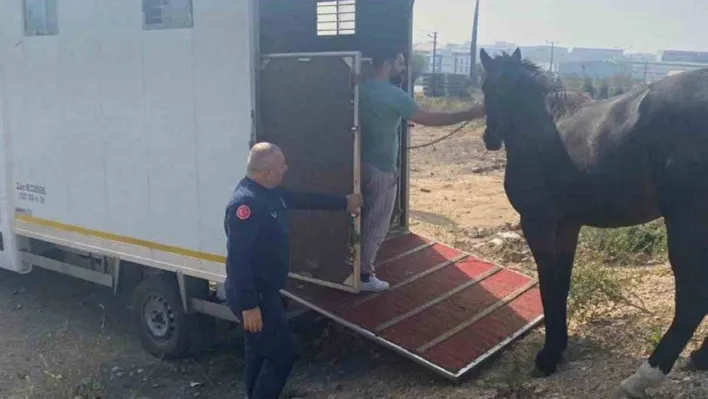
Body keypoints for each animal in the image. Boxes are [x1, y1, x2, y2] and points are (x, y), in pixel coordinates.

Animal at [482, 48, 708, 398]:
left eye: (488, 87)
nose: (490, 137)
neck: (541, 124)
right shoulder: (567, 225)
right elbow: (561, 282)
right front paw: (558, 348)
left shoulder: (537, 222)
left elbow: (548, 283)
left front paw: (547, 358)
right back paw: (700, 357)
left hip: (686, 222)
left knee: (693, 297)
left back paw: (644, 376)